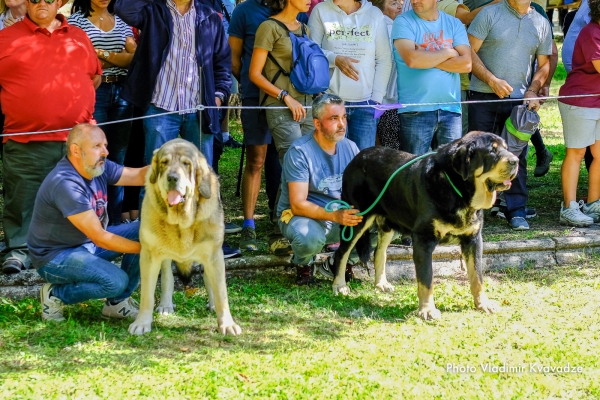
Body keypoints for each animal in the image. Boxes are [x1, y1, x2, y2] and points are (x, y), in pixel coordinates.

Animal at [330, 133, 516, 320]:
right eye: (492, 151)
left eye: (506, 148)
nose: (516, 161)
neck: (459, 191)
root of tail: (358, 156)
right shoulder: (423, 240)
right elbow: (426, 279)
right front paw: (427, 310)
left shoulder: (473, 240)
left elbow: (477, 277)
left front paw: (483, 304)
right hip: (357, 219)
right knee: (341, 253)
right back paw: (339, 285)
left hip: (390, 223)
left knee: (379, 253)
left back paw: (381, 283)